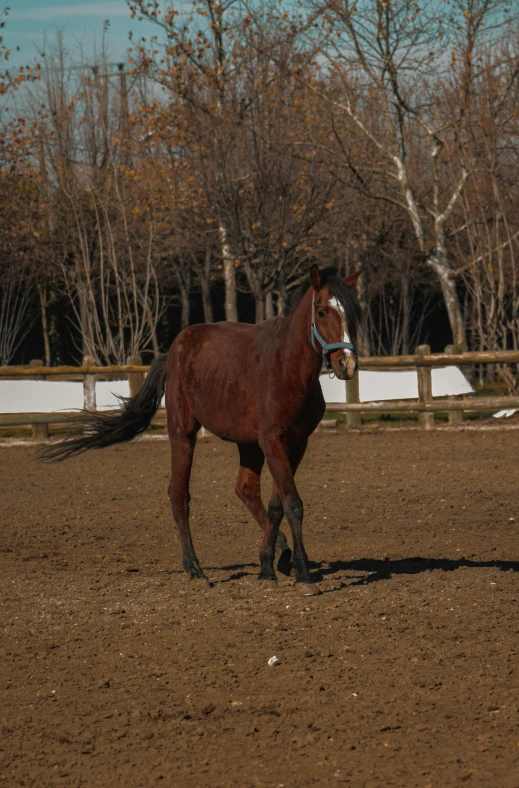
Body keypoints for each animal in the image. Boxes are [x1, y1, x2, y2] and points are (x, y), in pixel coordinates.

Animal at [41, 264, 362, 592]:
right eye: (321, 311)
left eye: (354, 312)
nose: (346, 364)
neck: (287, 370)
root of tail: (174, 350)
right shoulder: (273, 441)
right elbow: (293, 504)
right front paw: (304, 576)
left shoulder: (295, 443)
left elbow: (277, 504)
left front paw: (271, 568)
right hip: (183, 433)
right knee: (179, 495)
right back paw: (195, 568)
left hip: (247, 443)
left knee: (246, 490)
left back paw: (274, 558)